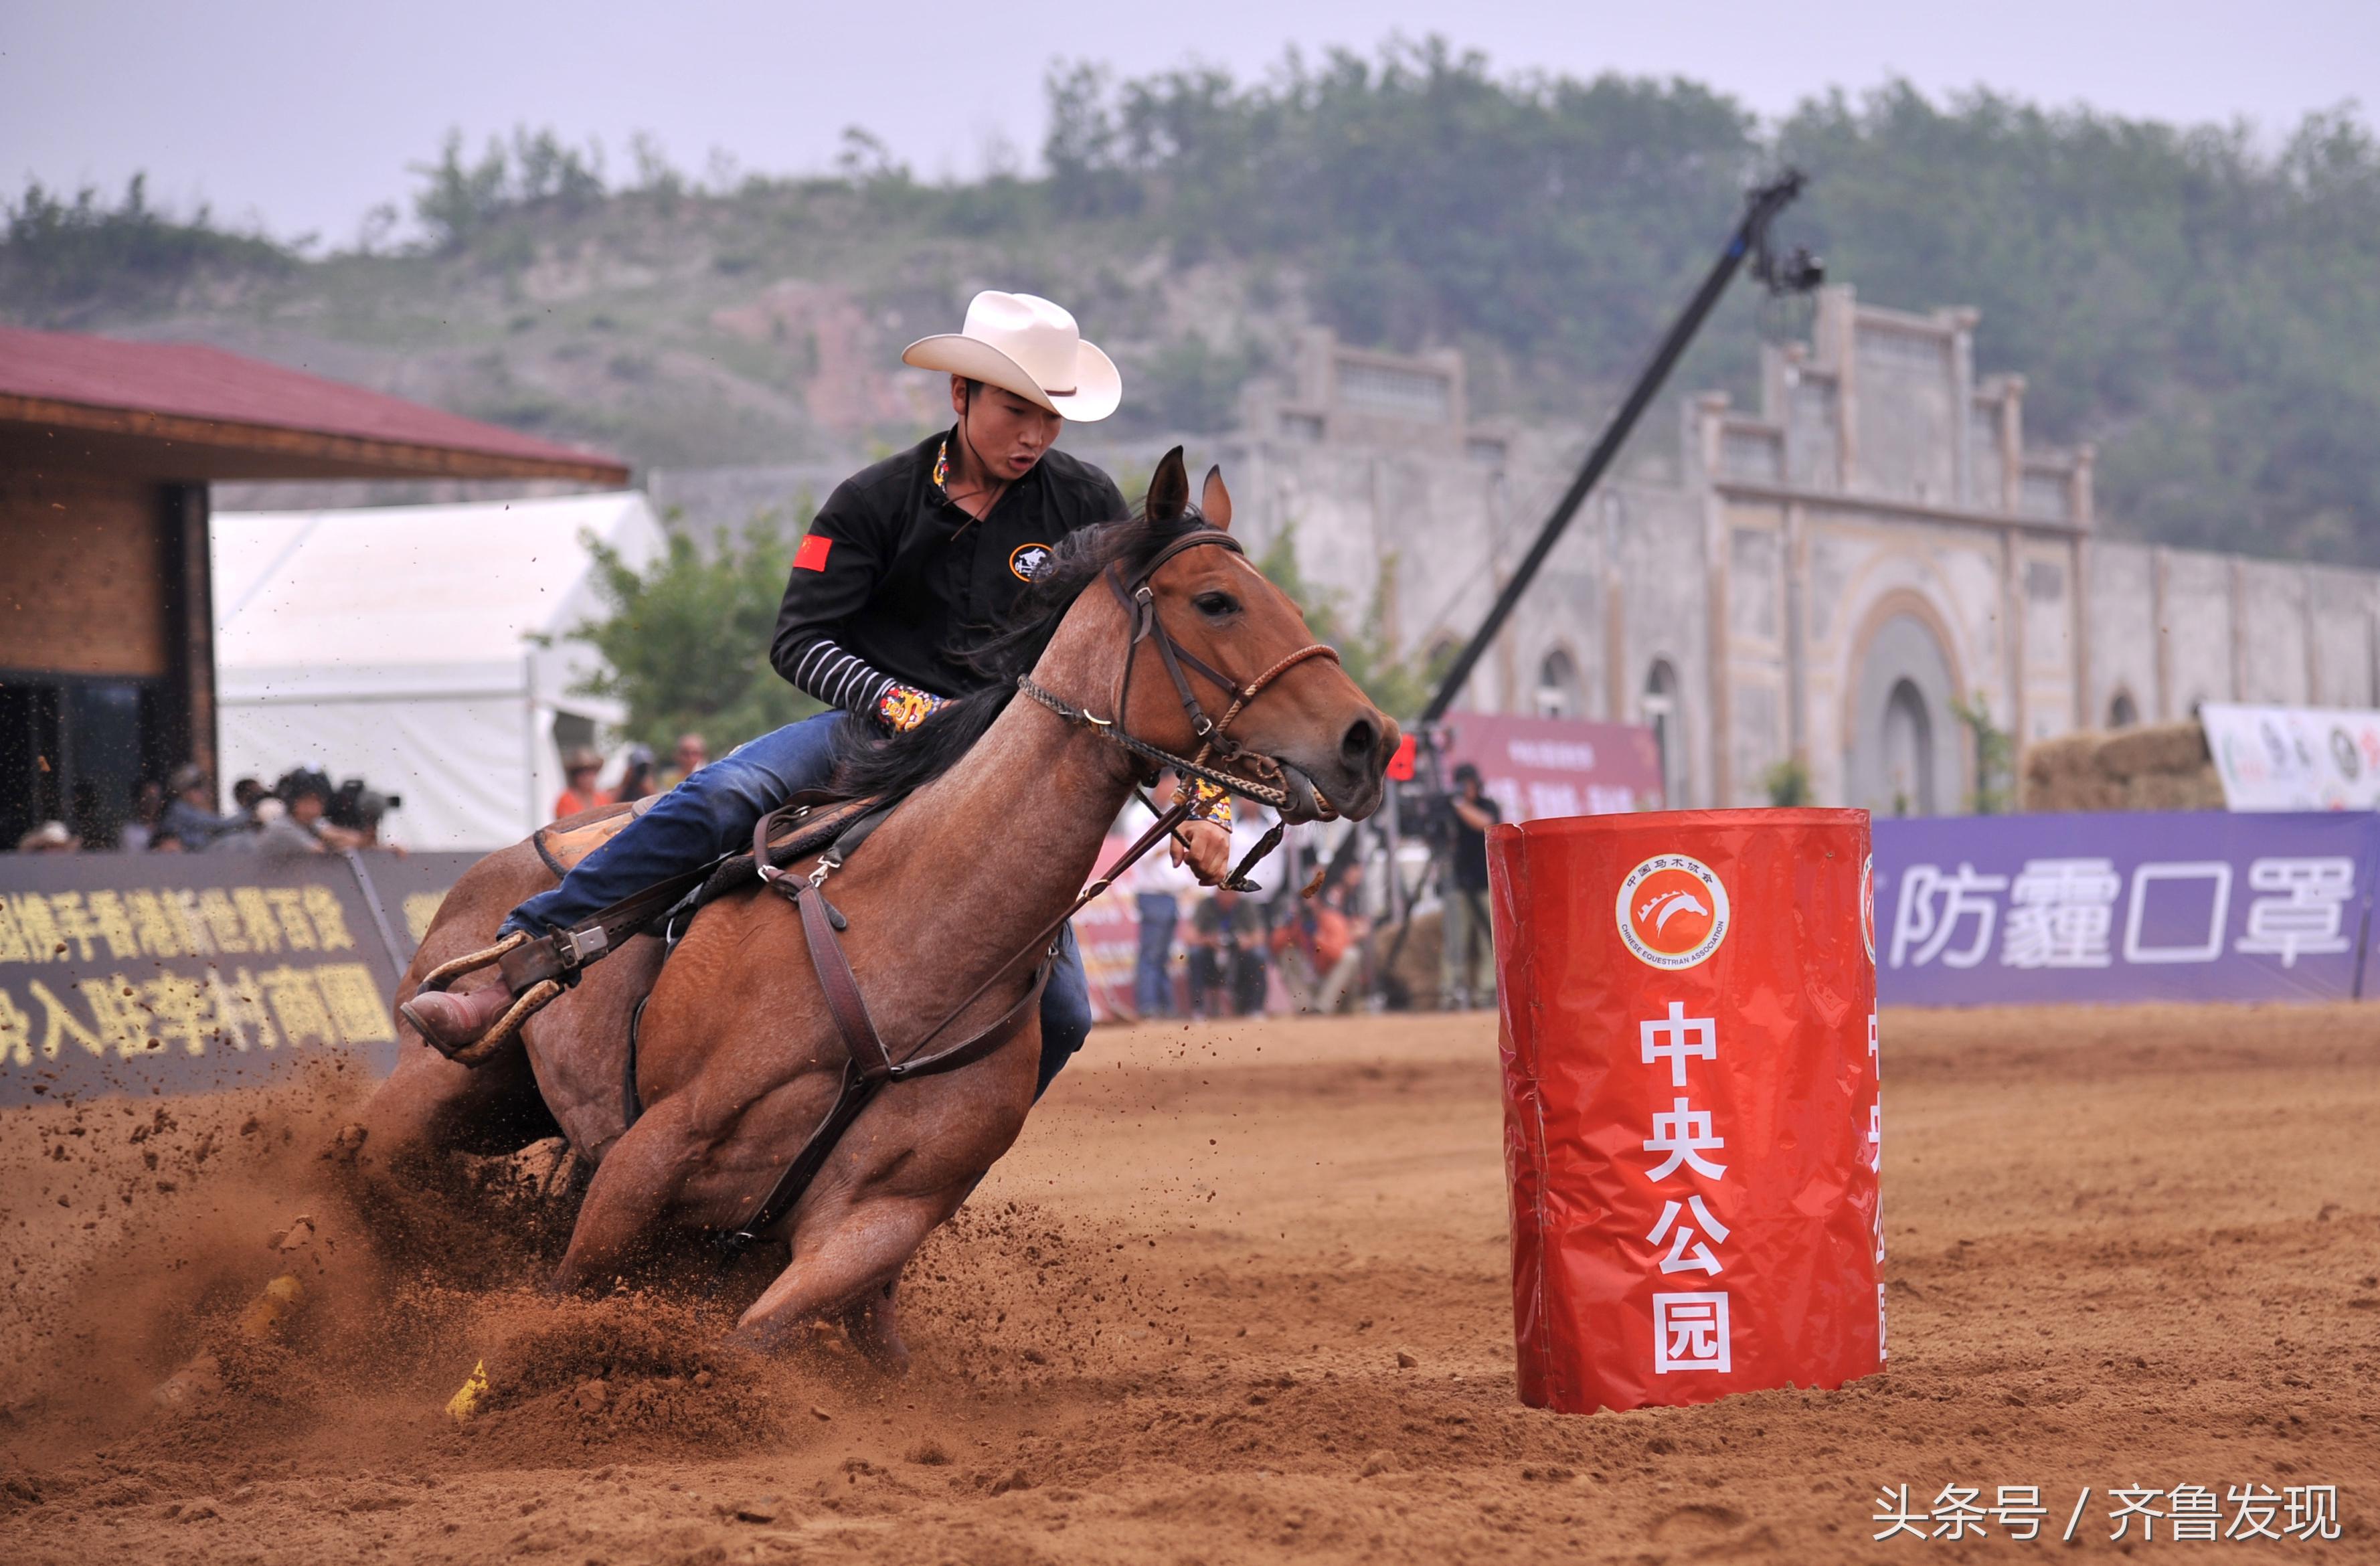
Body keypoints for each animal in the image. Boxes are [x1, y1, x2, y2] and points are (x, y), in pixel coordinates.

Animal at [334, 449, 1397, 1368]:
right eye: (1216, 600)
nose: (1371, 740)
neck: (910, 942)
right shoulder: (647, 1161)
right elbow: (552, 1311)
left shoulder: (875, 1221)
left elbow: (757, 1338)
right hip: (440, 1089)